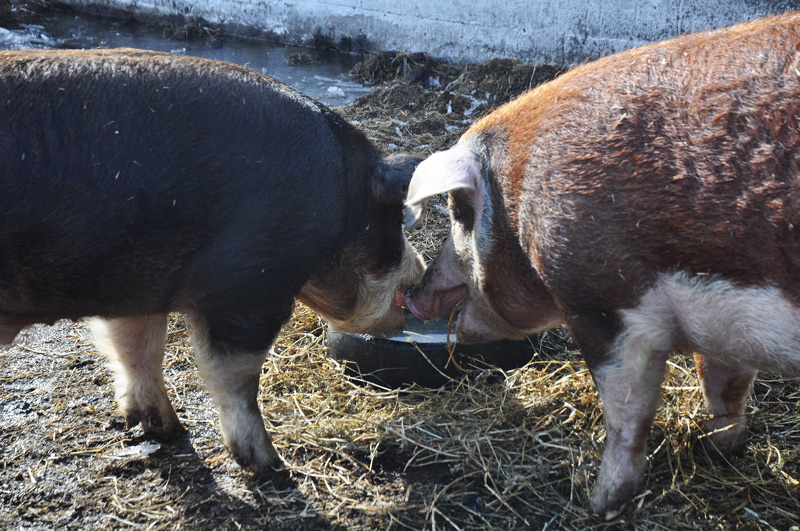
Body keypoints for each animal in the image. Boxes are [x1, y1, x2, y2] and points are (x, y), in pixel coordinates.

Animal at [0, 48, 424, 474]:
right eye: (394, 218)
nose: (419, 275)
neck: (338, 203)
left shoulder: (134, 283)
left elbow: (139, 348)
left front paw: (167, 430)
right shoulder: (248, 283)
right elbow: (236, 375)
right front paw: (271, 465)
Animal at [403, 11, 800, 520]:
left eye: (458, 212)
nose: (412, 296)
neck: (520, 197)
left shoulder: (603, 298)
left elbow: (627, 408)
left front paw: (601, 504)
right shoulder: (723, 325)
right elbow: (722, 382)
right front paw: (717, 450)